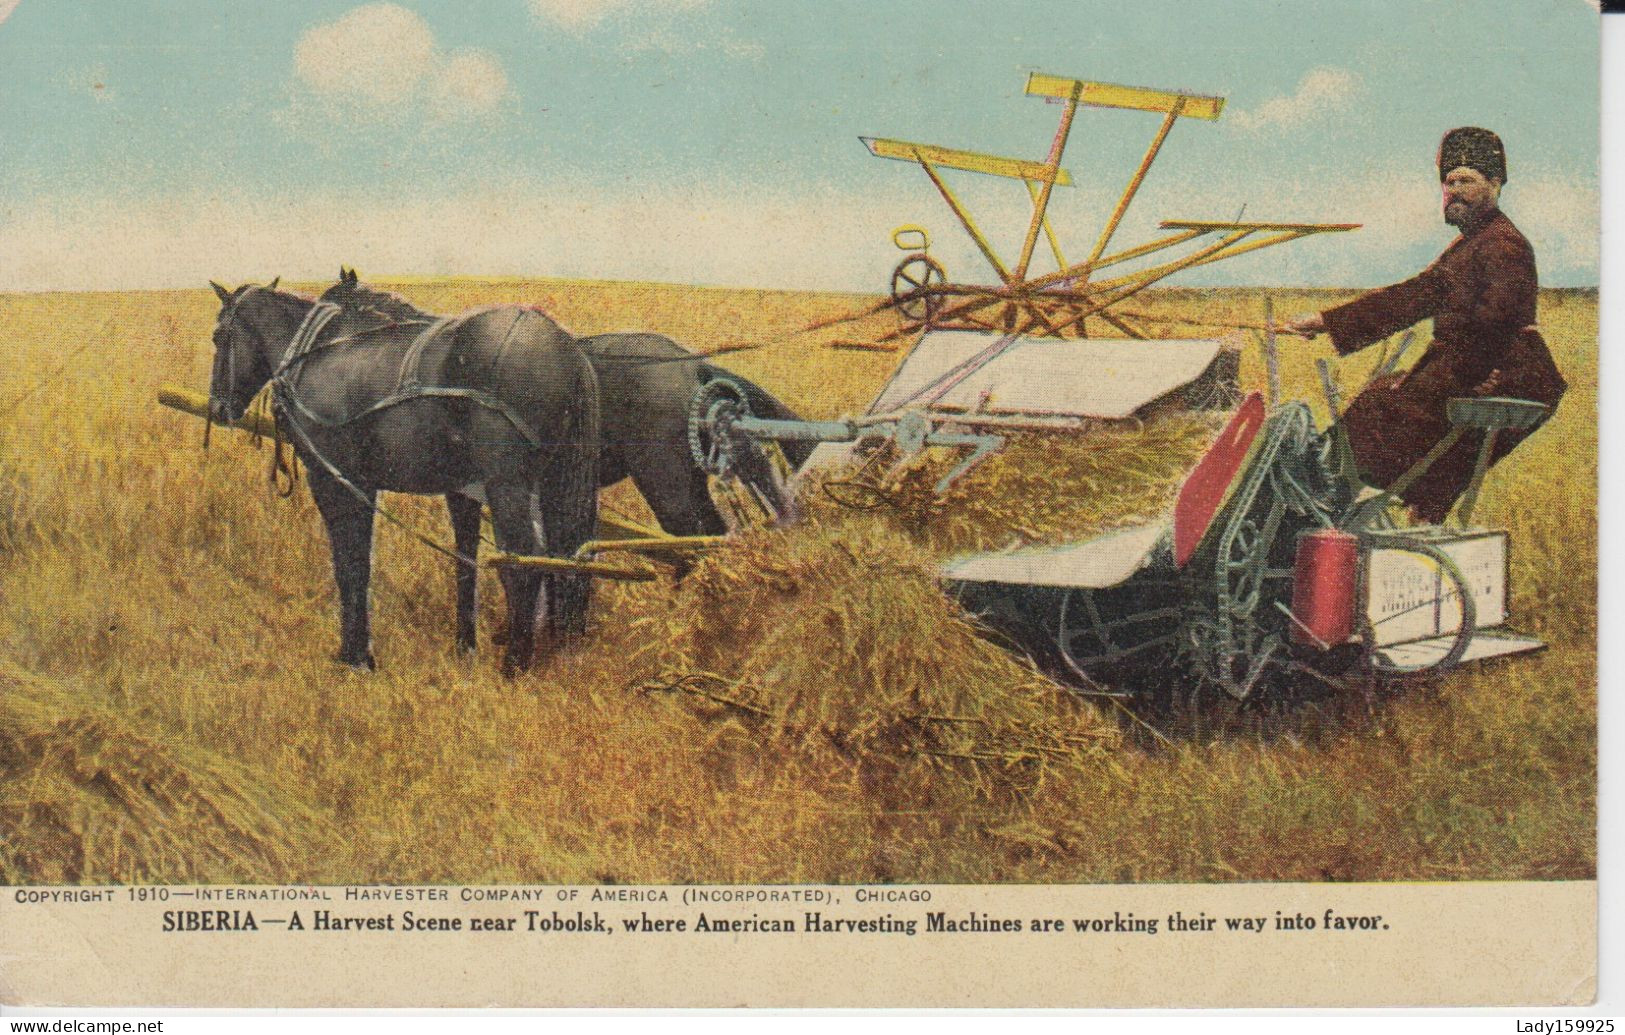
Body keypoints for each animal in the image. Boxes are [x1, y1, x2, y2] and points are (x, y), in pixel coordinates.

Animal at [206, 281, 601, 669]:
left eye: (218, 336)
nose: (218, 409)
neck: (317, 351)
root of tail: (567, 352)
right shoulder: (428, 488)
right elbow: (452, 562)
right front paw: (458, 648)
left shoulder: (334, 480)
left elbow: (349, 564)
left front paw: (353, 655)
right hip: (550, 484)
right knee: (563, 559)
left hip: (508, 487)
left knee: (524, 561)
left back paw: (515, 665)